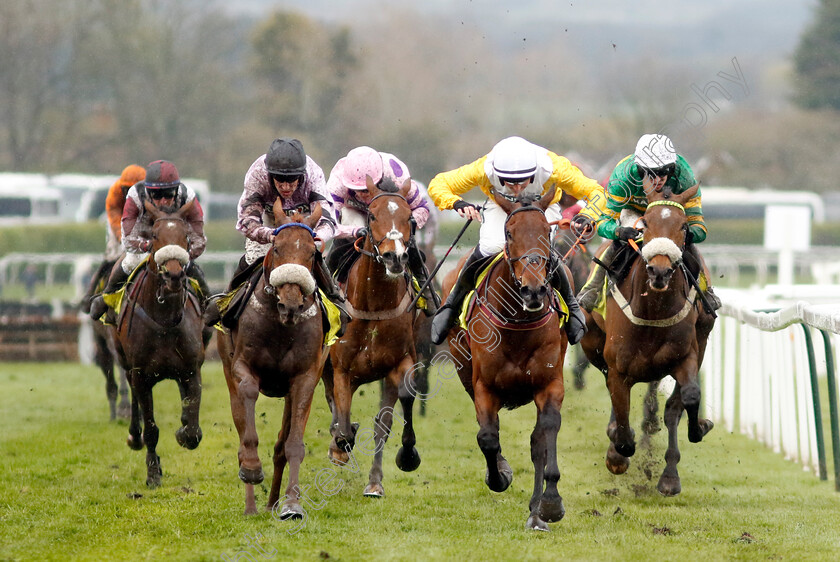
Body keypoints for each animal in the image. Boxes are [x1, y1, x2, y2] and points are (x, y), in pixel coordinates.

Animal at [111, 198, 207, 486]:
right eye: (154, 236)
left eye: (185, 236)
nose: (174, 275)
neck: (164, 320)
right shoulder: (142, 376)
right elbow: (151, 428)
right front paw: (153, 472)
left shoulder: (192, 370)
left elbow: (193, 427)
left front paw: (184, 431)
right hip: (125, 363)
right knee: (132, 398)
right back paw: (134, 435)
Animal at [218, 202, 330, 516]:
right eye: (277, 248)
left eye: (312, 252)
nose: (290, 304)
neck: (281, 327)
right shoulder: (242, 367)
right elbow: (248, 402)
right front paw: (253, 468)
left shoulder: (305, 377)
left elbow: (293, 444)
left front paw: (291, 504)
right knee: (241, 432)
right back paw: (251, 506)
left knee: (282, 442)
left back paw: (271, 503)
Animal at [324, 174, 424, 494]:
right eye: (372, 215)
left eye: (410, 218)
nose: (395, 257)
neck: (375, 304)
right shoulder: (341, 369)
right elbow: (342, 426)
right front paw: (340, 445)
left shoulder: (400, 362)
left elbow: (388, 417)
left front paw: (384, 475)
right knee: (333, 405)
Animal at [442, 186, 568, 528]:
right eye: (509, 233)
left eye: (547, 231)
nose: (534, 290)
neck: (517, 323)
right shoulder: (484, 386)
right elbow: (487, 436)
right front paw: (499, 476)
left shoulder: (549, 383)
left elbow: (545, 434)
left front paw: (549, 503)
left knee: (537, 441)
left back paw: (536, 512)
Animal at [580, 184, 720, 494]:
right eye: (645, 224)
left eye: (683, 227)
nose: (659, 271)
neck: (653, 309)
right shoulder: (618, 368)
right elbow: (621, 422)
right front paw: (617, 454)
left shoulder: (687, 355)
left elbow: (687, 398)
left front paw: (697, 431)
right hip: (592, 344)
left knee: (670, 407)